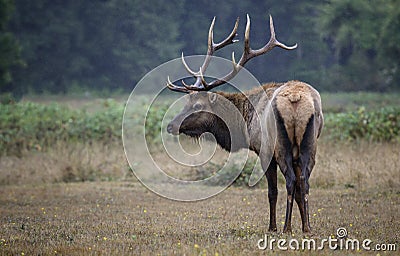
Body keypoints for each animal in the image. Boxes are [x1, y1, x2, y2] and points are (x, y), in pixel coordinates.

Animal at [164, 15, 324, 233]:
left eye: (197, 105)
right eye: (186, 102)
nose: (170, 125)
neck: (246, 125)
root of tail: (296, 98)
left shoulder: (264, 152)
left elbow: (272, 191)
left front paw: (272, 227)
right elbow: (300, 191)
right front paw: (306, 226)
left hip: (280, 145)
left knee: (290, 181)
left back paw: (285, 228)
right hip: (309, 143)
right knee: (304, 181)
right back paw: (304, 227)